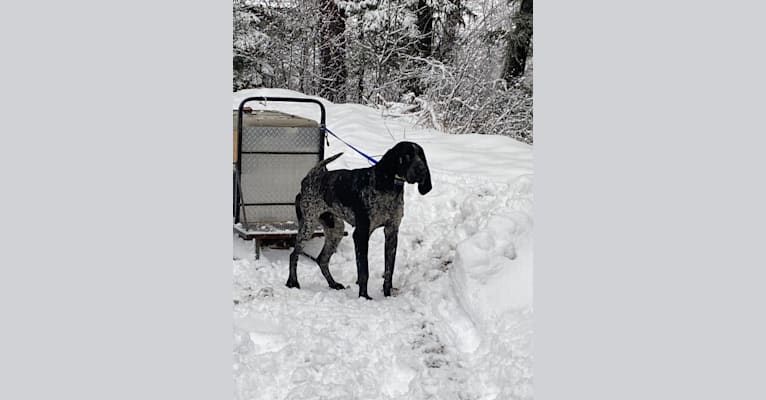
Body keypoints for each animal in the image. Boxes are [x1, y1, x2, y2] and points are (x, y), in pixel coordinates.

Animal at [286, 142, 432, 298]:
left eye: (421, 156)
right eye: (406, 155)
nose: (422, 170)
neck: (390, 188)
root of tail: (308, 179)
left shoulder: (391, 232)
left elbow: (389, 270)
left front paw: (387, 294)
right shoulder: (361, 234)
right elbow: (364, 272)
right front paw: (364, 297)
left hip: (336, 230)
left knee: (322, 260)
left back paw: (333, 284)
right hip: (308, 226)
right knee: (294, 255)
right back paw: (292, 282)